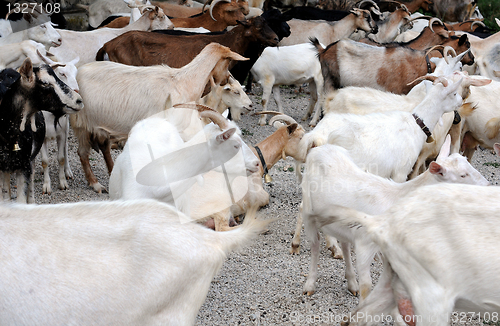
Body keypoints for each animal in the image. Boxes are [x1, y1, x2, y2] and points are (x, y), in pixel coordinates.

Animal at [296, 138, 488, 298]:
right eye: (463, 175)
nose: (487, 185)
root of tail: (319, 148)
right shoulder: (365, 243)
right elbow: (367, 285)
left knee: (344, 243)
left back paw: (351, 283)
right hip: (308, 210)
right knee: (315, 244)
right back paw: (309, 284)